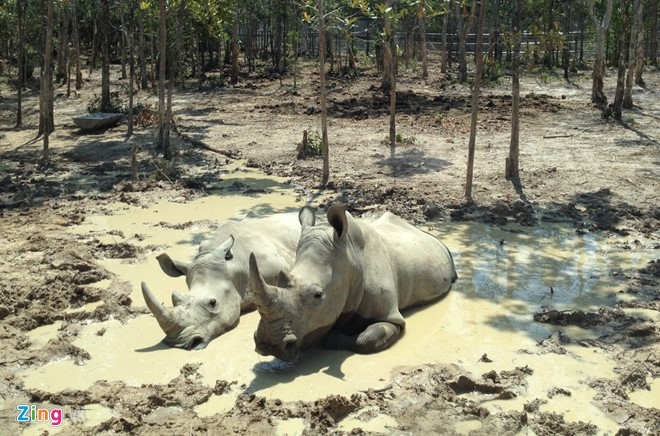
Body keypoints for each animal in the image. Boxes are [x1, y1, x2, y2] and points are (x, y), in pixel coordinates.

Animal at [249, 204, 458, 362]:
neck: (349, 259)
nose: (270, 344)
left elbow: (367, 339)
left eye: (317, 295)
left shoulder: (390, 316)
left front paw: (331, 338)